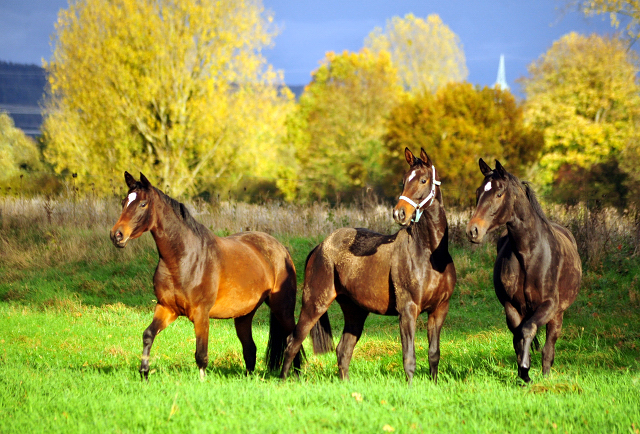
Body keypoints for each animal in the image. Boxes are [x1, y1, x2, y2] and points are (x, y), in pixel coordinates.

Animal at [109, 173, 302, 380]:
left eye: (143, 204)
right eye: (124, 202)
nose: (117, 235)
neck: (184, 259)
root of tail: (281, 249)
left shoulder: (201, 314)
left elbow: (201, 354)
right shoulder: (166, 308)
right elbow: (148, 335)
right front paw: (144, 373)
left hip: (282, 308)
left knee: (293, 339)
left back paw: (294, 375)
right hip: (244, 315)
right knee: (250, 348)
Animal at [280, 148, 456, 384]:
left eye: (423, 180)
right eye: (403, 181)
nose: (399, 213)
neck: (428, 255)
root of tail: (321, 246)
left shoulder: (439, 310)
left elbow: (434, 354)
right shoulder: (407, 310)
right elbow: (409, 358)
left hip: (355, 312)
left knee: (343, 350)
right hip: (314, 304)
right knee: (293, 343)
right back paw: (282, 381)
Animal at [464, 160, 580, 384]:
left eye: (499, 193)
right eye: (478, 191)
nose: (473, 231)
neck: (529, 253)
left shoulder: (549, 305)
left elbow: (528, 330)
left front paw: (526, 368)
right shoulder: (511, 306)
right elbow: (517, 336)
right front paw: (522, 374)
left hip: (557, 315)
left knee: (549, 348)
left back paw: (545, 376)